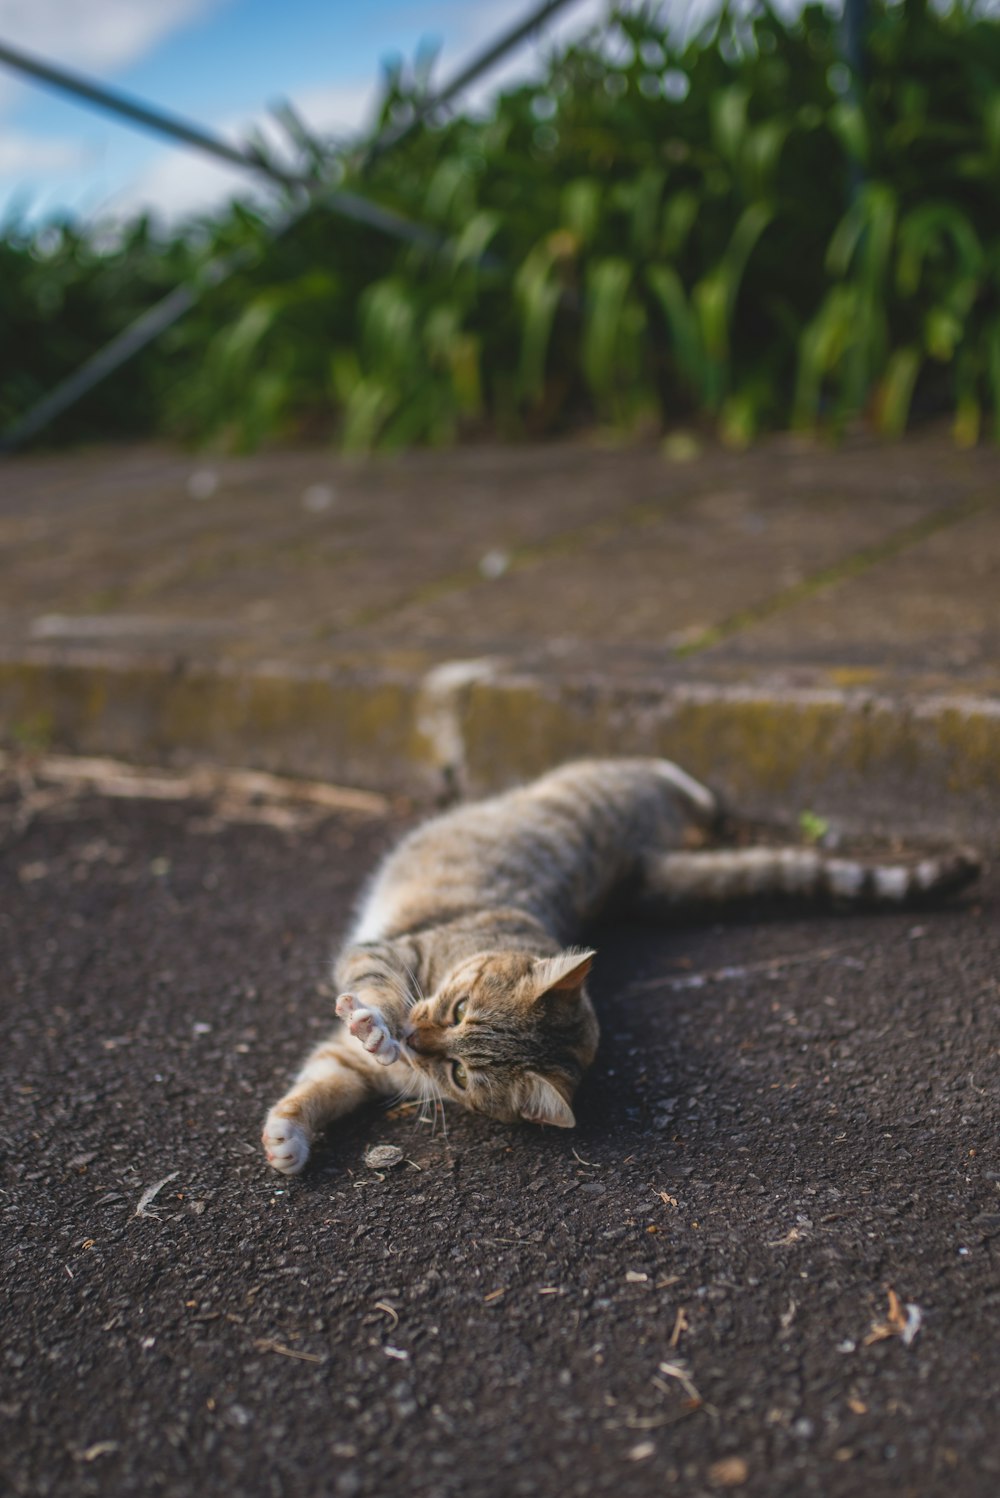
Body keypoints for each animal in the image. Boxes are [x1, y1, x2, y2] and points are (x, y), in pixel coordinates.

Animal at [261, 760, 982, 1168]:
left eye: (462, 1075)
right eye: (459, 1007)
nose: (415, 1040)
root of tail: (638, 865)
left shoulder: (378, 1066)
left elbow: (325, 1082)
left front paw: (287, 1140)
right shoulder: (387, 958)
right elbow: (364, 1013)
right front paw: (370, 1035)